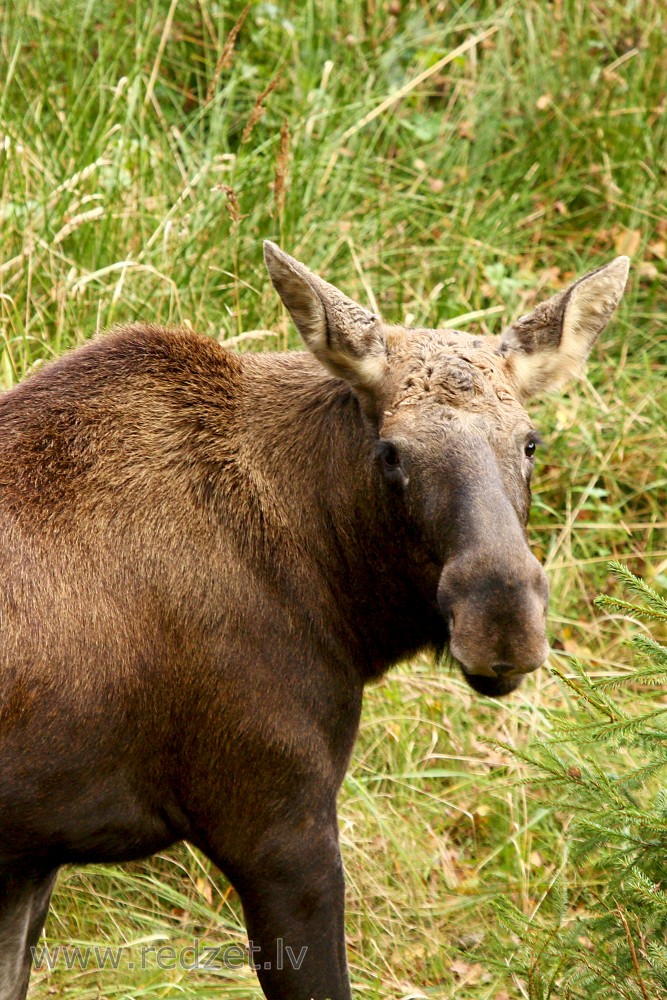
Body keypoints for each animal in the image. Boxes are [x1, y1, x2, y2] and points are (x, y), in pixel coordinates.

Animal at [0, 244, 628, 1000]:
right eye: (391, 452)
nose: (501, 614)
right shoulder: (277, 823)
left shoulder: (29, 860)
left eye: (530, 442)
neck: (344, 607)